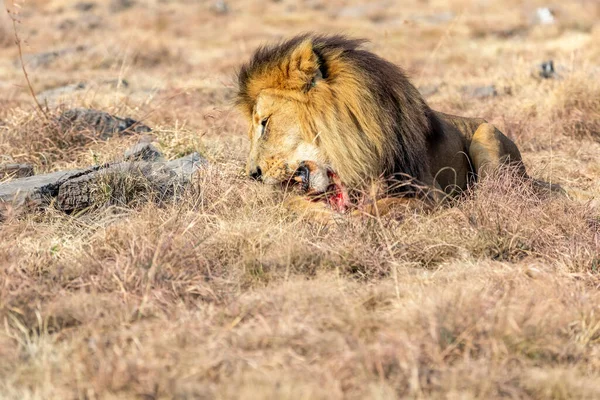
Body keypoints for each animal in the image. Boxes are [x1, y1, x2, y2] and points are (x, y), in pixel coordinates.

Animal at [236, 33, 564, 222]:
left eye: (265, 123)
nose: (253, 174)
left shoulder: (429, 193)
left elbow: (382, 205)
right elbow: (293, 206)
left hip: (487, 136)